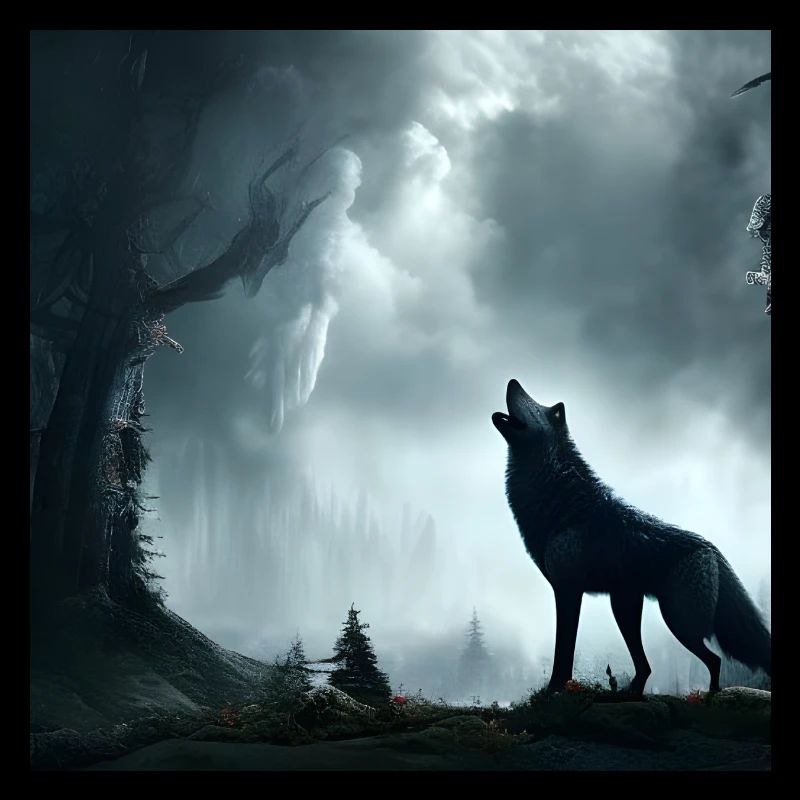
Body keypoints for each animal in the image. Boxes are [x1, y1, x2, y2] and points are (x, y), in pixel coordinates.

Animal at [492, 379, 771, 696]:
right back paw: (631, 693)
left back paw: (707, 696)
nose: (513, 382)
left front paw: (553, 690)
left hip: (675, 620)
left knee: (713, 660)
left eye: (538, 405)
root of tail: (711, 549)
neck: (562, 500)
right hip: (626, 608)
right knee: (648, 666)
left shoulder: (567, 590)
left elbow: (563, 651)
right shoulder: (569, 590)